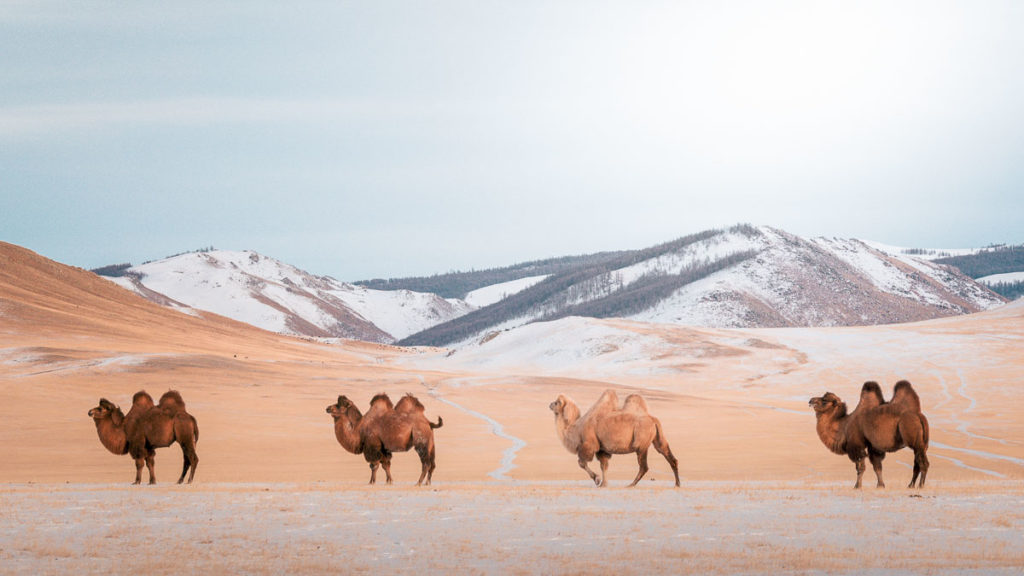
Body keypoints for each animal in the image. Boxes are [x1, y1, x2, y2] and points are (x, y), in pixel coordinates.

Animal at [548, 387, 684, 485]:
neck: (576, 428)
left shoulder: (589, 444)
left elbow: (581, 463)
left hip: (641, 444)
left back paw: (631, 485)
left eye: (557, 402)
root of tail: (654, 420)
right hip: (658, 438)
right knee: (669, 456)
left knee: (644, 466)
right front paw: (604, 484)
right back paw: (677, 484)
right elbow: (604, 466)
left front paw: (597, 479)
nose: (549, 404)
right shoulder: (602, 449)